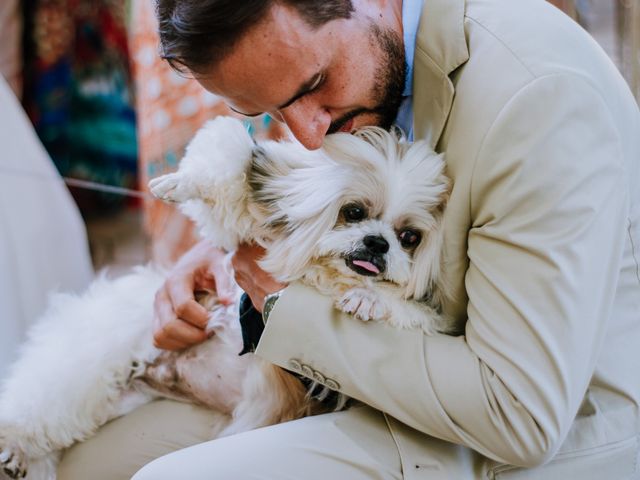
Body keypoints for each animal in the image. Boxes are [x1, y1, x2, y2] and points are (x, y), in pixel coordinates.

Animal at [0, 117, 452, 480]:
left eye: (410, 238)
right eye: (354, 212)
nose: (378, 244)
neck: (319, 276)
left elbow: (409, 310)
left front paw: (368, 298)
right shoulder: (246, 230)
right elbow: (232, 171)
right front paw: (183, 181)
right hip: (87, 365)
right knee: (33, 411)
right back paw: (13, 448)